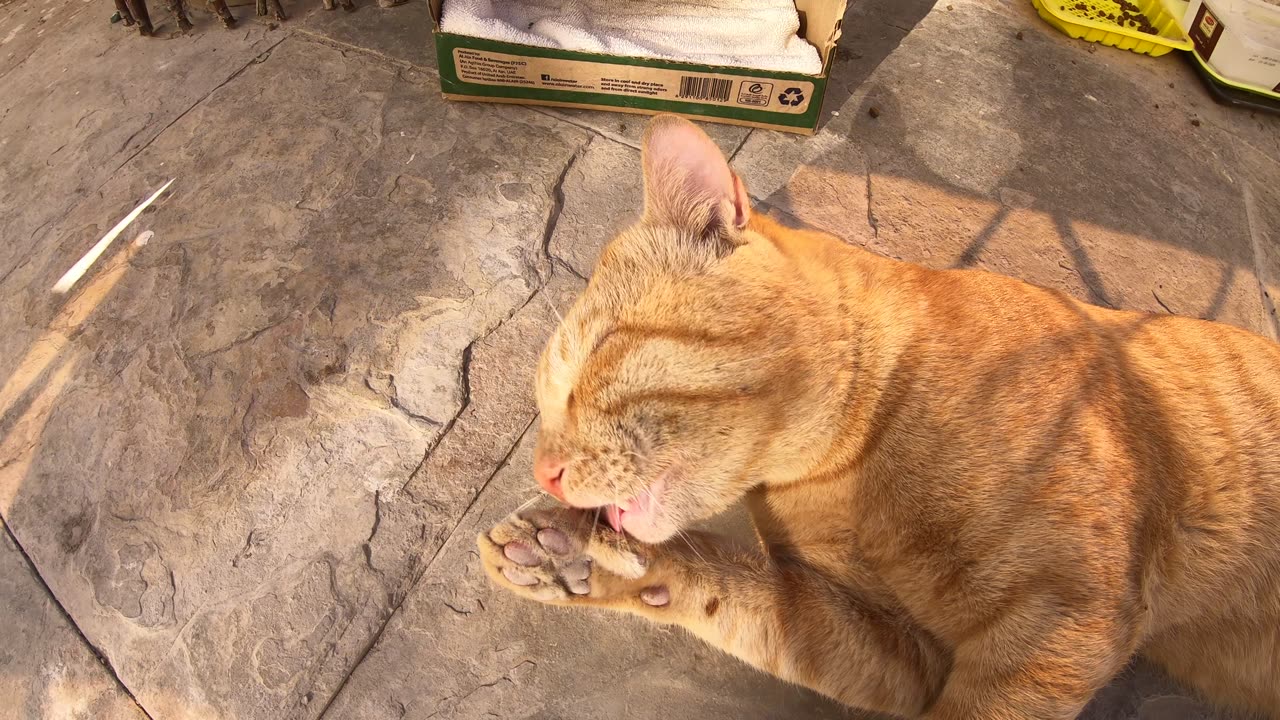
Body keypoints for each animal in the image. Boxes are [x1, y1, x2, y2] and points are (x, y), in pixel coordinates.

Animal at [481, 114, 1280, 712]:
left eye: (599, 354)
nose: (543, 473)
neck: (853, 462)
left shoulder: (1064, 619)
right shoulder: (894, 650)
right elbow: (733, 588)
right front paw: (576, 557)